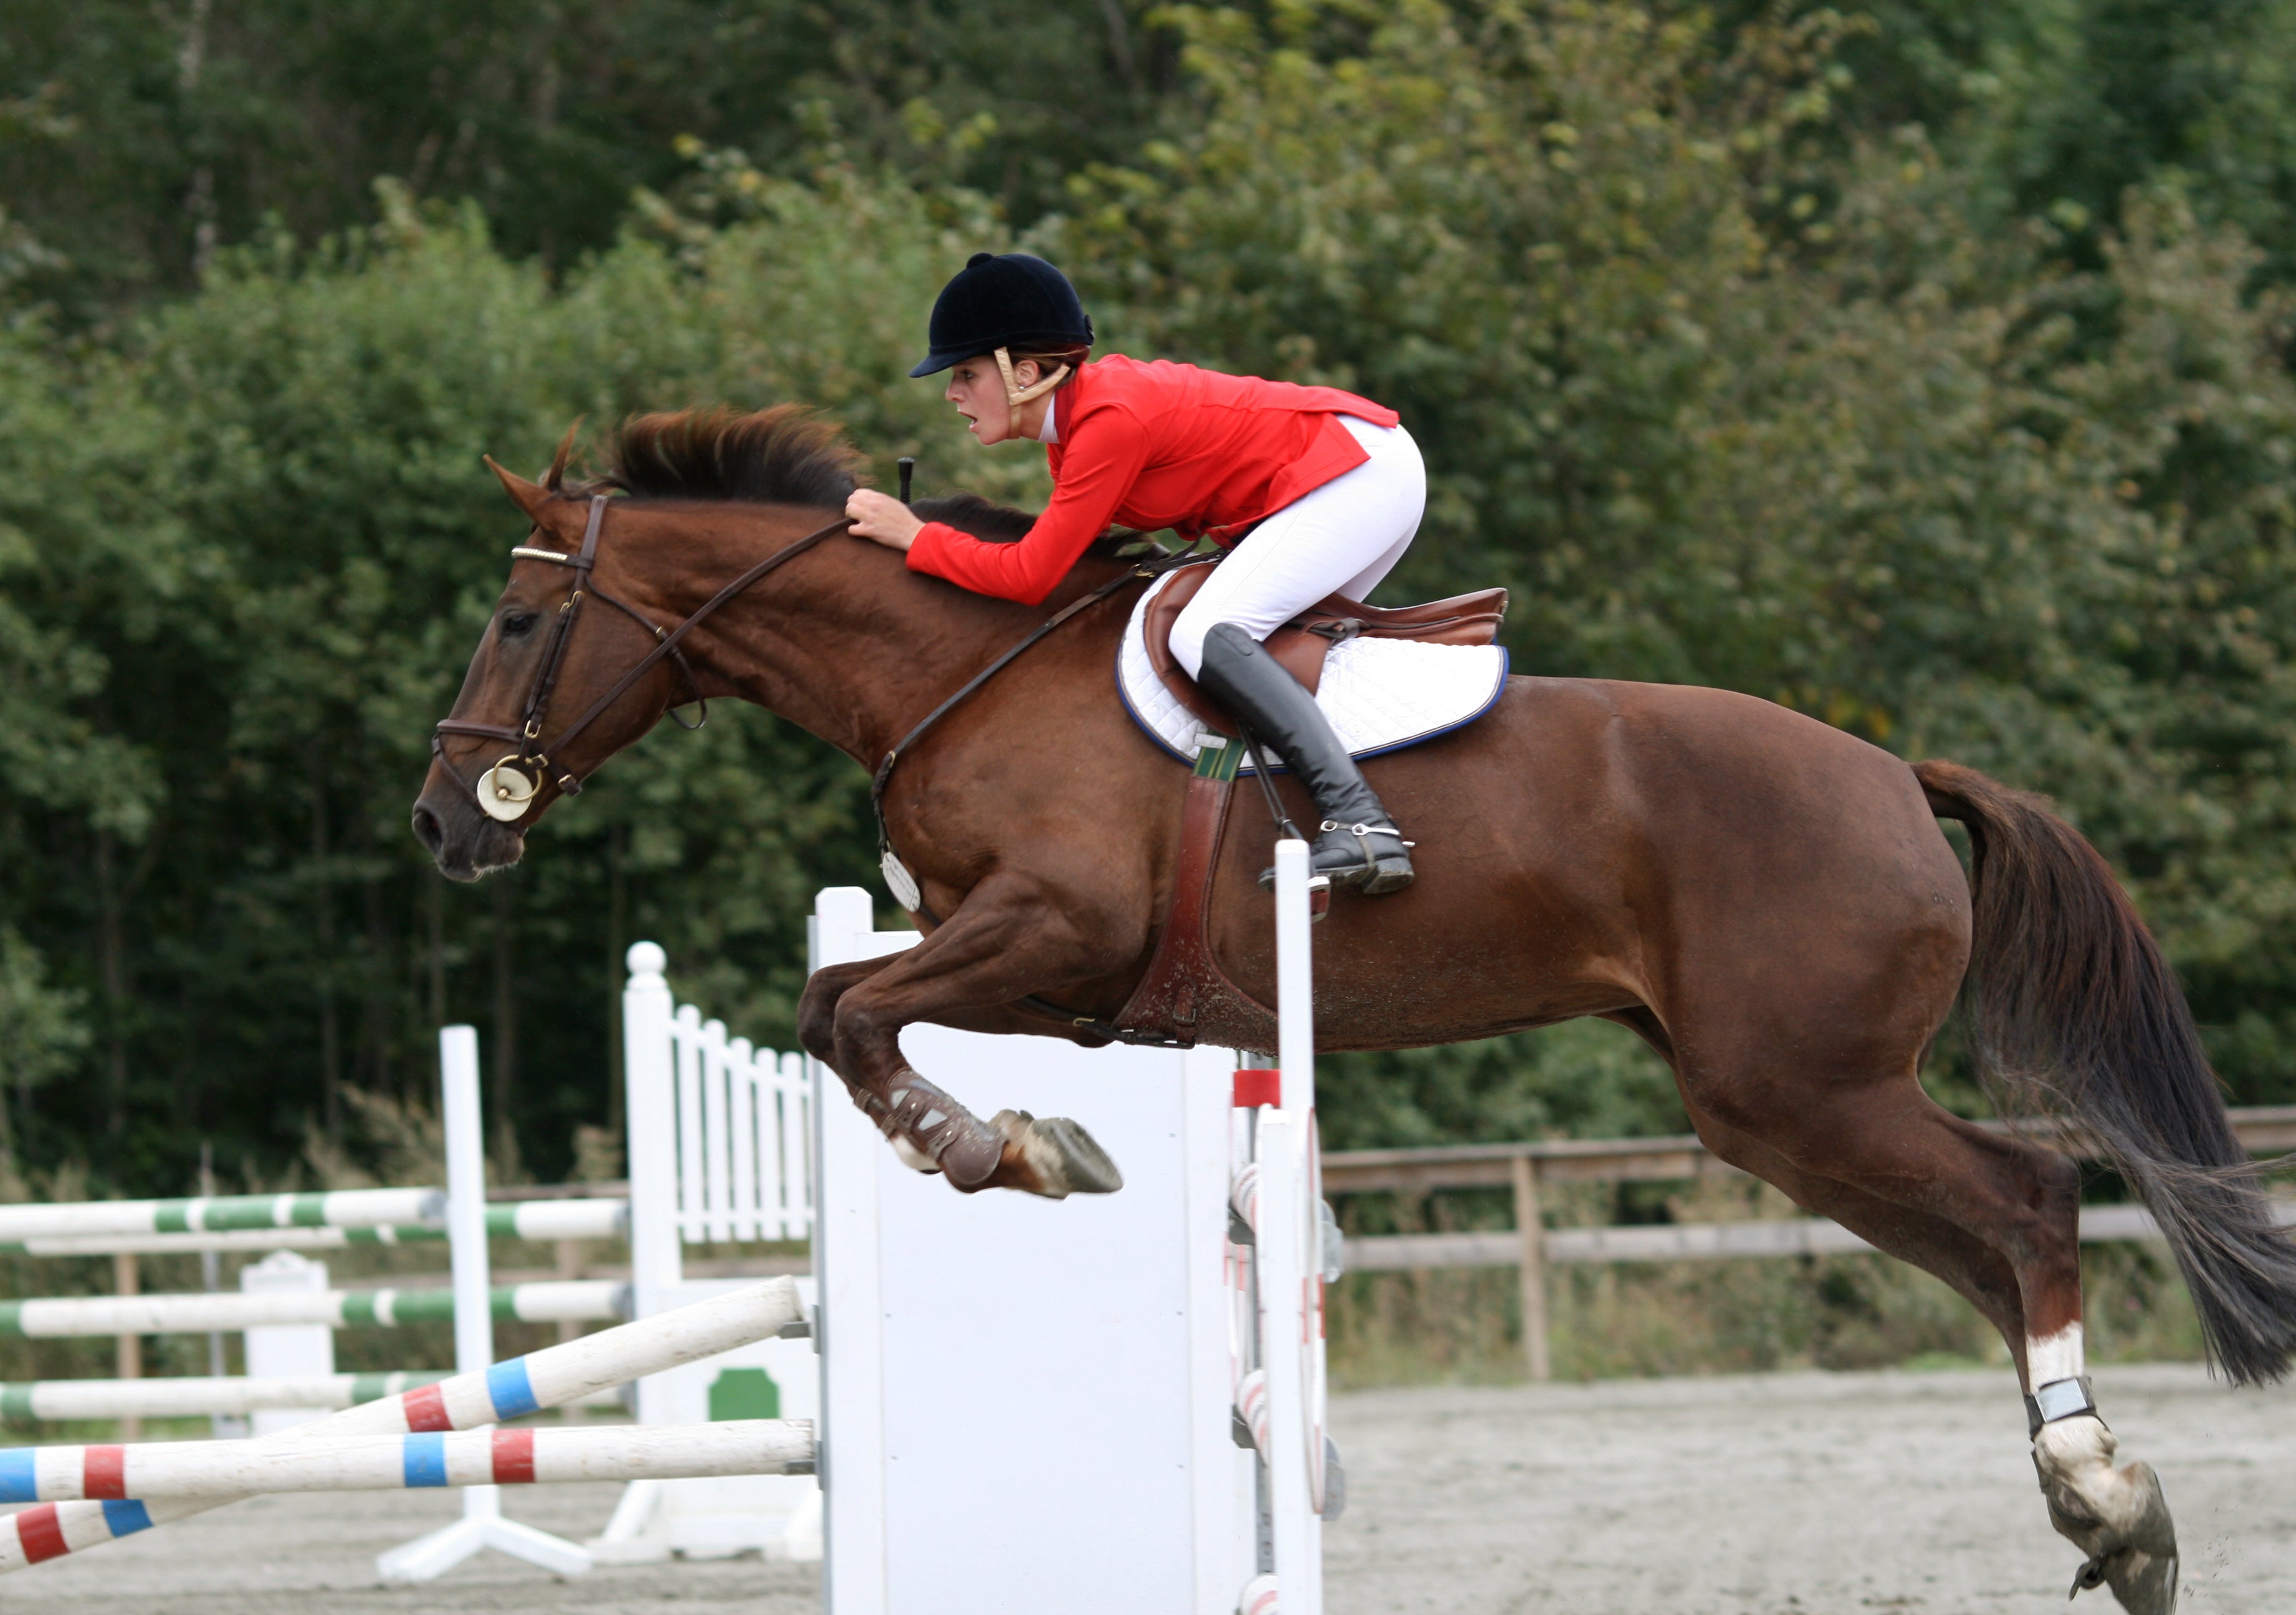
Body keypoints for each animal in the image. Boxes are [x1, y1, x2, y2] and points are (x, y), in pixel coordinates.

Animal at [418, 406, 2296, 1615]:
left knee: (2030, 1200)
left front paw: (1005, 1150)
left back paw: (2110, 1502)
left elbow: (843, 1012)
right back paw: (2106, 1510)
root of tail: (1895, 778)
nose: (445, 825)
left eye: (514, 617)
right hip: (1781, 1107)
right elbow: (848, 1002)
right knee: (1991, 1238)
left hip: (1797, 1087)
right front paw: (1025, 1141)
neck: (955, 667)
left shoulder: (1051, 932)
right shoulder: (1031, 961)